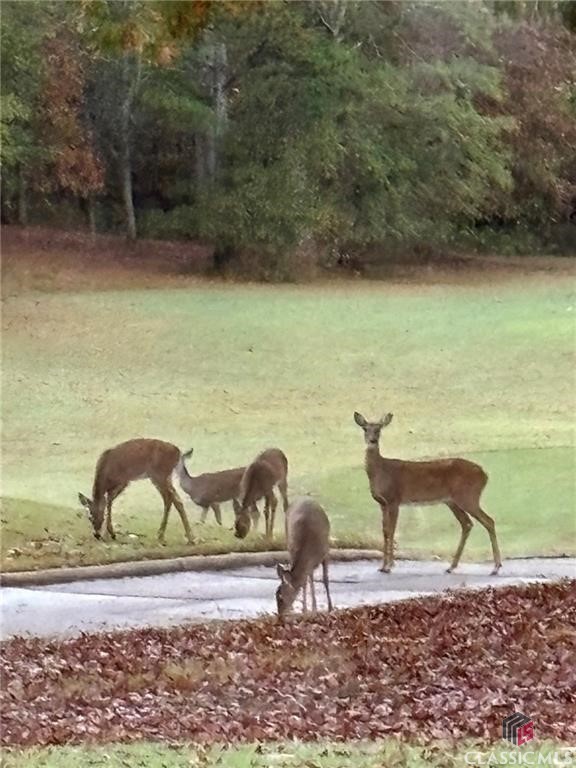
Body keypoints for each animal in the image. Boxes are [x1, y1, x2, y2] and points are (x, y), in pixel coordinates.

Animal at [353, 412, 502, 575]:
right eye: (365, 429)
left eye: (379, 429)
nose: (372, 441)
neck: (381, 471)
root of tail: (485, 475)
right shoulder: (382, 503)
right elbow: (385, 531)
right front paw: (382, 566)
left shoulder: (394, 499)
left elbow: (392, 531)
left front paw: (389, 566)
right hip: (452, 501)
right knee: (467, 524)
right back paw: (451, 566)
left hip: (468, 497)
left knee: (488, 521)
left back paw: (496, 567)